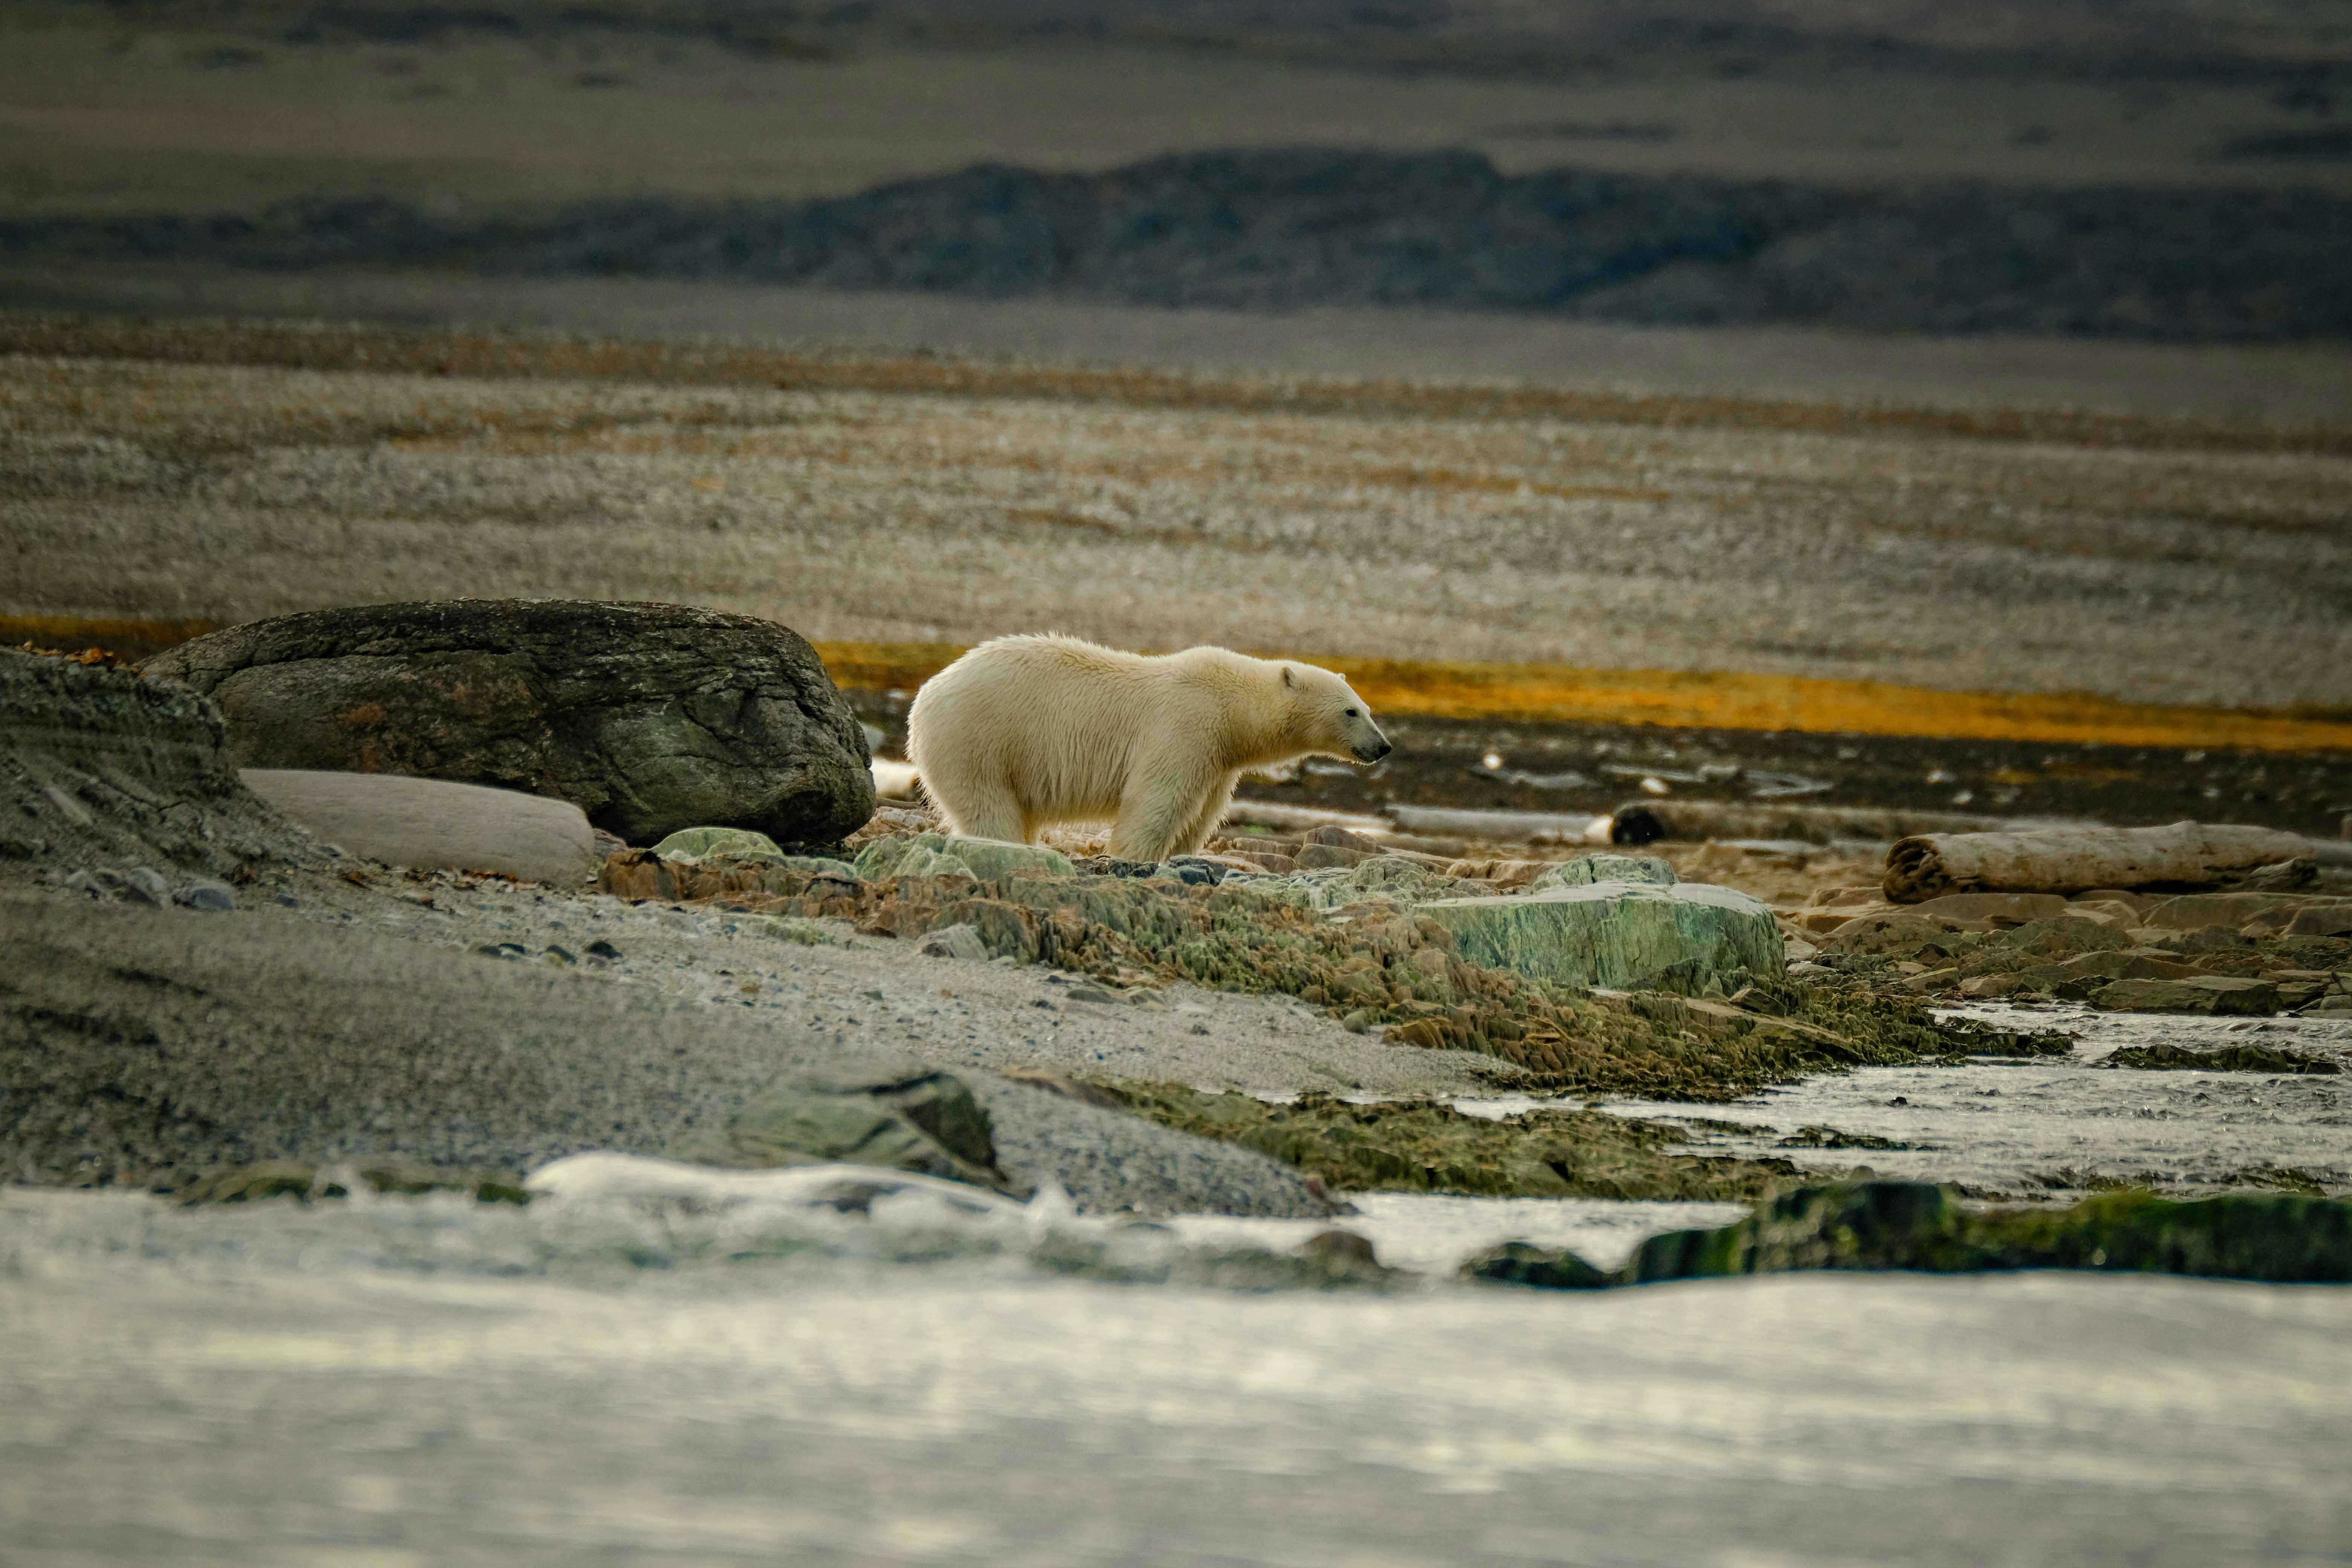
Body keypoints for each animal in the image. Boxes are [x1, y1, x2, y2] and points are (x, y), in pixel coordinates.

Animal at [905, 634, 1391, 863]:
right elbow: (1157, 801)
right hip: (978, 739)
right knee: (989, 807)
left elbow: (1200, 815)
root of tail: (927, 693)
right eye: (1351, 711)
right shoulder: (1185, 727)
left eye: (1369, 709)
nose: (1383, 746)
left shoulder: (1219, 759)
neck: (1232, 707)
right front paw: (1132, 856)